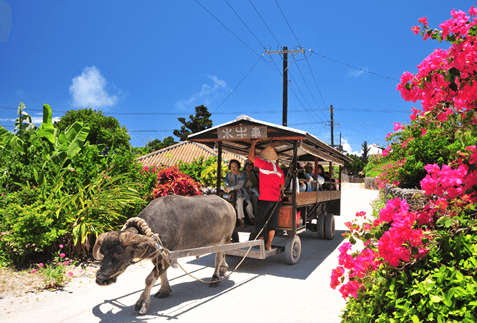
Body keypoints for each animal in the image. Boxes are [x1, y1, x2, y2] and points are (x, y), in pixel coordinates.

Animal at [92, 194, 235, 316]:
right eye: (102, 251)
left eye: (119, 252)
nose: (100, 279)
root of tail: (229, 206)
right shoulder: (158, 256)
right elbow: (161, 275)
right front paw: (164, 290)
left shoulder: (168, 256)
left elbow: (150, 279)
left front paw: (142, 302)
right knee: (223, 255)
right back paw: (223, 269)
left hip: (223, 240)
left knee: (218, 258)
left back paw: (215, 278)